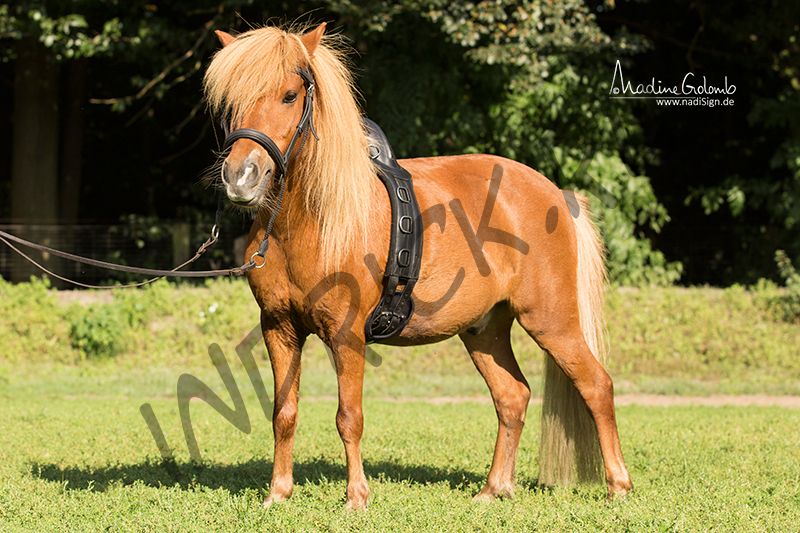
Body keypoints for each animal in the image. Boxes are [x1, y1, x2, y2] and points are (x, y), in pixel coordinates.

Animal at [204, 23, 632, 509]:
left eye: (290, 95)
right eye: (230, 101)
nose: (241, 177)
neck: (313, 219)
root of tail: (556, 193)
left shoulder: (347, 334)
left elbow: (349, 416)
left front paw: (356, 498)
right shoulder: (279, 328)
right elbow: (284, 412)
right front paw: (278, 493)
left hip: (552, 322)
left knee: (596, 386)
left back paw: (618, 486)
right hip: (484, 330)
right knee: (513, 397)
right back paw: (493, 489)